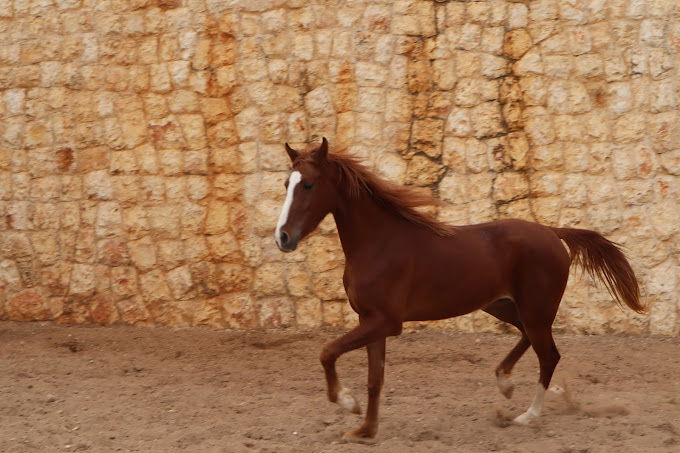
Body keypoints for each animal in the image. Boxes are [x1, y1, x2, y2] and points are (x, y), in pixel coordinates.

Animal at [274, 139, 644, 442]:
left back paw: (528, 415)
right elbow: (374, 379)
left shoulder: (386, 322)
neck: (378, 244)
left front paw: (347, 402)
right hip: (504, 306)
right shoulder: (371, 321)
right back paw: (504, 382)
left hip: (535, 310)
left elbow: (328, 352)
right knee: (528, 339)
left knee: (549, 355)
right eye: (286, 184)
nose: (283, 237)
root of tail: (553, 233)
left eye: (308, 184)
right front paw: (365, 430)